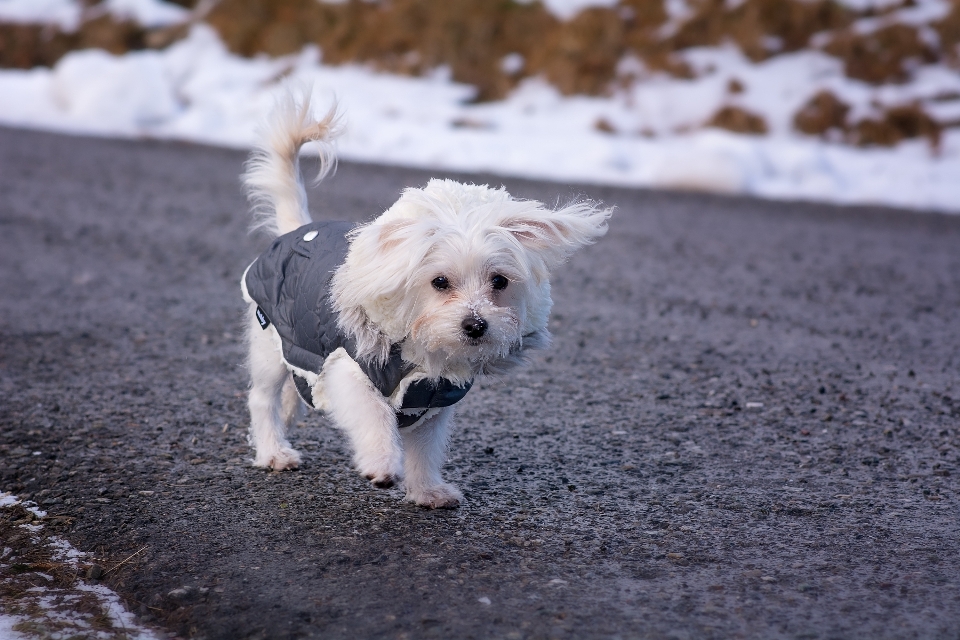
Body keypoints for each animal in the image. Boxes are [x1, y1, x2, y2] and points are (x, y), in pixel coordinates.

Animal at [239, 92, 608, 508]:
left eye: (499, 281)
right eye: (440, 282)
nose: (476, 325)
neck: (424, 358)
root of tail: (296, 231)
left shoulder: (434, 401)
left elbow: (426, 450)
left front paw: (426, 490)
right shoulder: (349, 371)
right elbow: (375, 416)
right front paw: (382, 463)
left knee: (293, 387)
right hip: (267, 343)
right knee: (262, 399)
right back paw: (273, 450)